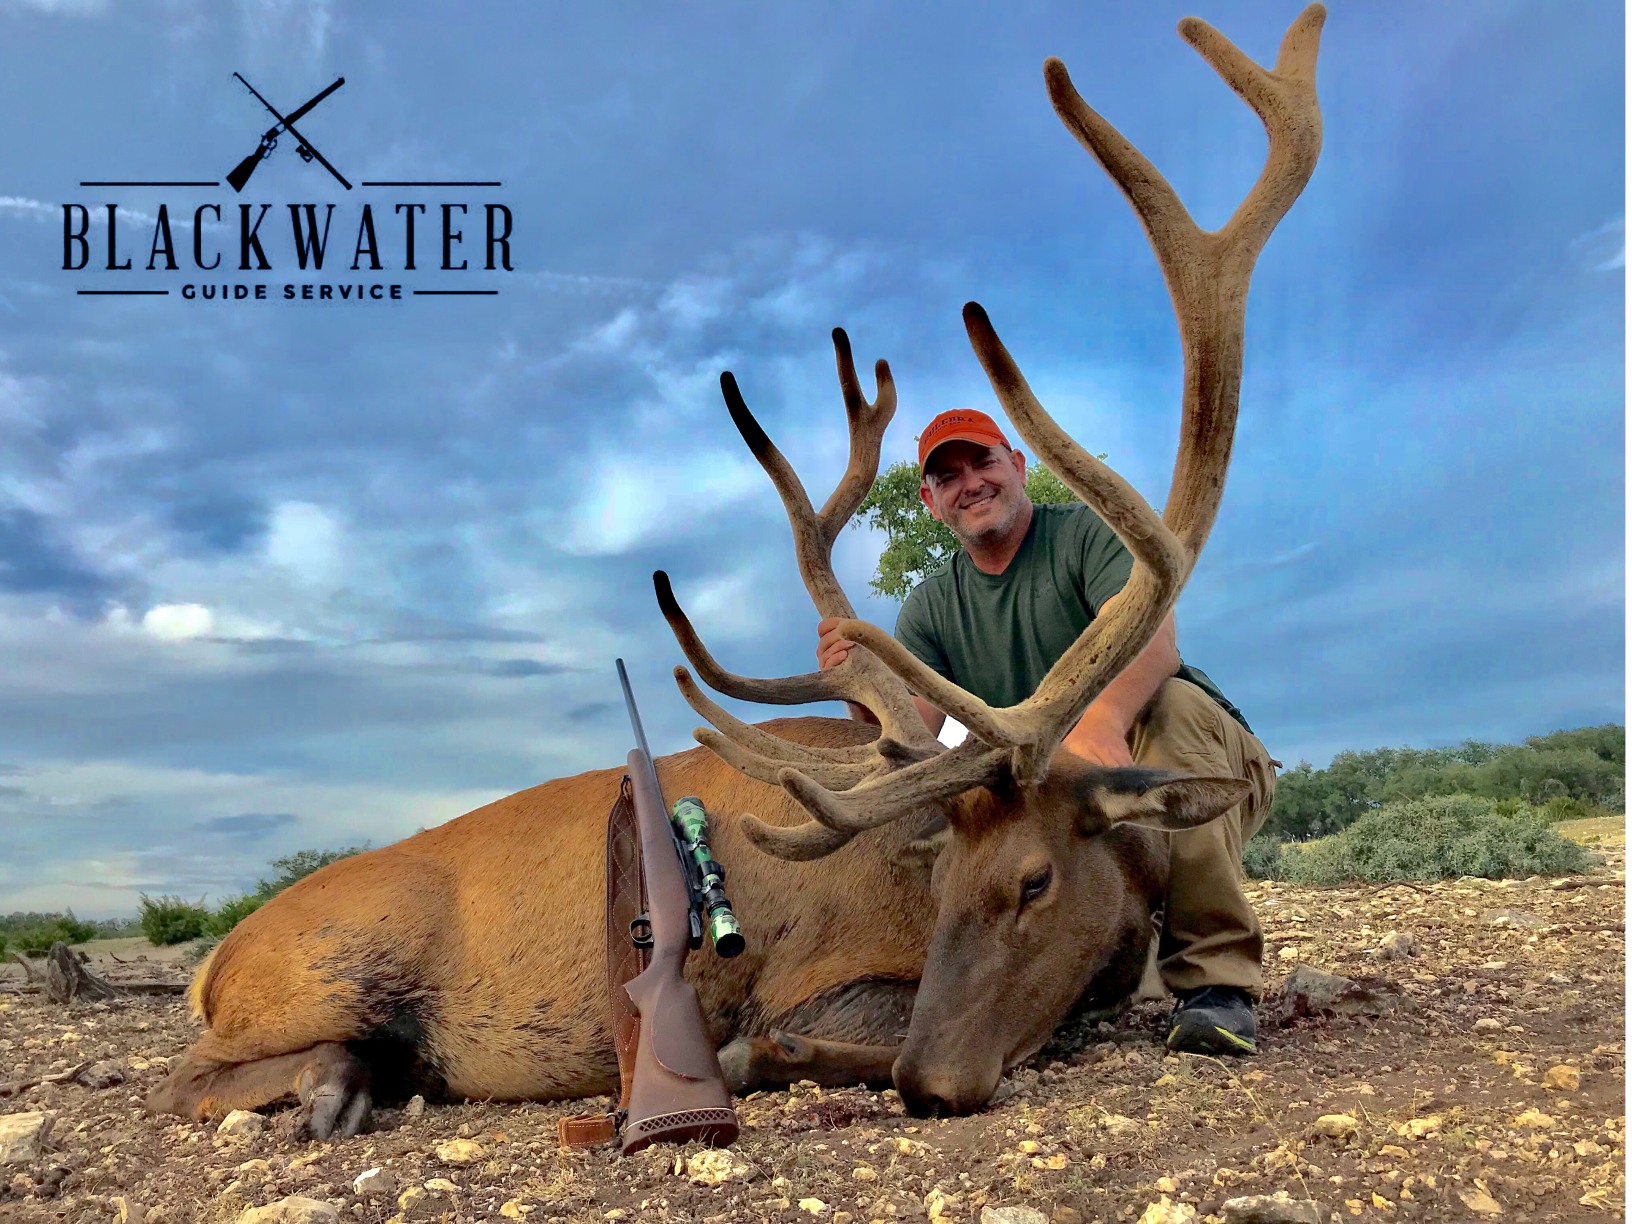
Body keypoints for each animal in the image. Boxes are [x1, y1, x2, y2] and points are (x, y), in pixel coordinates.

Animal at [148, 5, 1324, 1137]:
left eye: (1034, 880)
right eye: (942, 875)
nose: (935, 1081)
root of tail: (213, 962)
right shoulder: (816, 974)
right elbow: (786, 1038)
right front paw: (783, 1059)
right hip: (329, 969)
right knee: (188, 1074)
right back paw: (331, 1088)